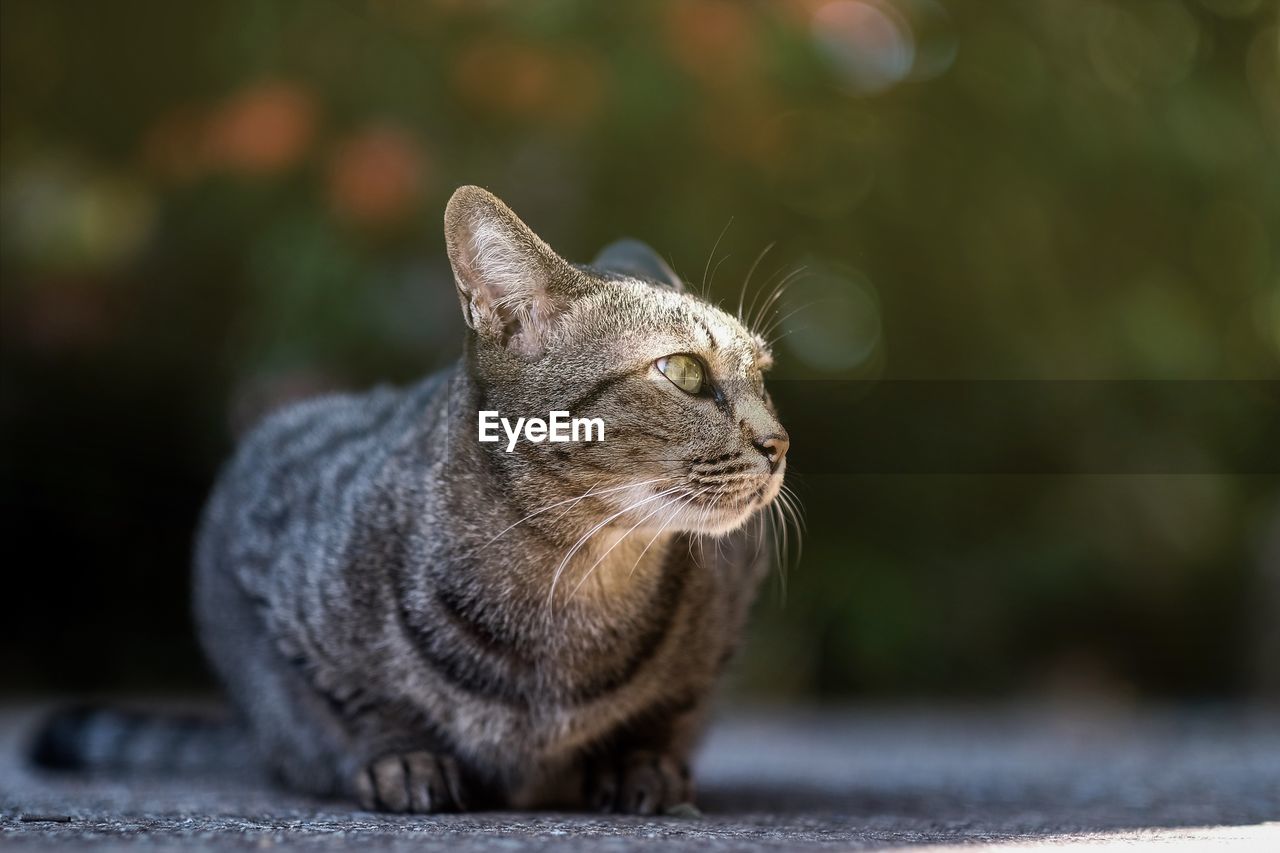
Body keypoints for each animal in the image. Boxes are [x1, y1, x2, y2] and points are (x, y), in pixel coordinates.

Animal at [30, 188, 788, 819]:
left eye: (763, 372)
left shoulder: (727, 607)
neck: (572, 577)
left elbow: (672, 704)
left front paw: (643, 761)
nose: (781, 442)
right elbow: (359, 705)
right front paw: (404, 758)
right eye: (684, 371)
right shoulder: (261, 553)